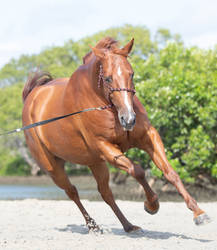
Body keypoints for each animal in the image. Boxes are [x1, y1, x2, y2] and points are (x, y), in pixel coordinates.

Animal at [22, 37, 210, 232]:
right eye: (107, 78)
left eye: (132, 74)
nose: (129, 119)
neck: (106, 104)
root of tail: (32, 96)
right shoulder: (106, 148)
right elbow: (138, 171)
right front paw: (152, 205)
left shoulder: (148, 137)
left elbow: (170, 172)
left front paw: (198, 212)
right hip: (53, 167)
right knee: (72, 191)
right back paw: (92, 225)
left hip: (95, 162)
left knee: (105, 193)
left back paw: (128, 225)